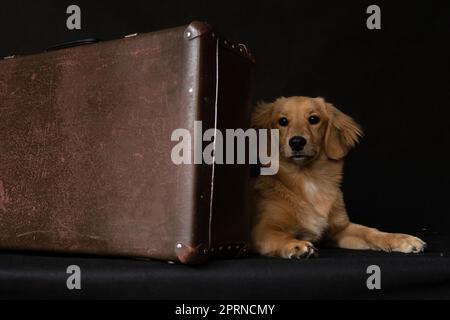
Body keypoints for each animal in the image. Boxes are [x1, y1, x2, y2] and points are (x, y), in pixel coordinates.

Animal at [251, 96, 428, 258]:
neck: (308, 178)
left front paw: (402, 239)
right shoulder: (263, 231)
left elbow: (370, 232)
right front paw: (295, 245)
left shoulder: (340, 230)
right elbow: (281, 237)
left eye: (313, 119)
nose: (296, 142)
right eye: (282, 121)